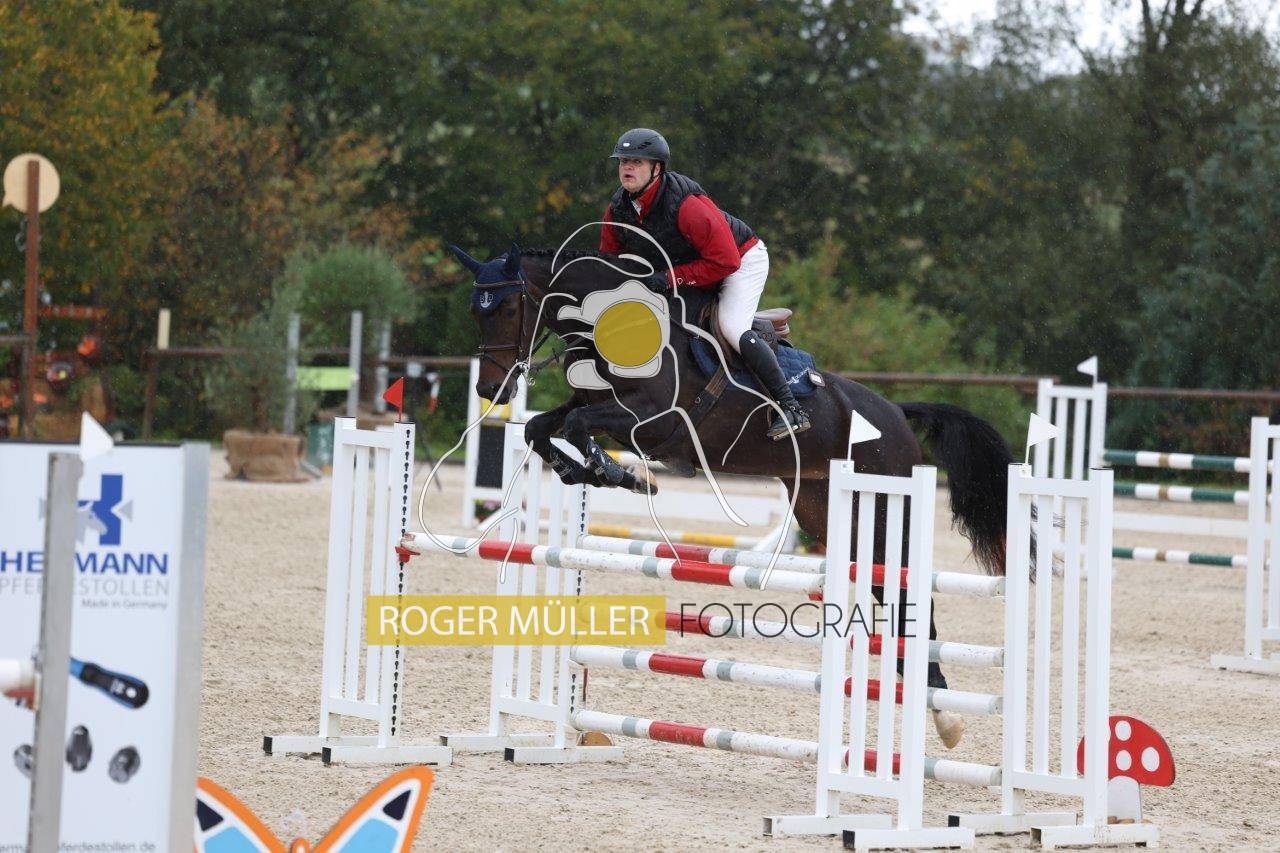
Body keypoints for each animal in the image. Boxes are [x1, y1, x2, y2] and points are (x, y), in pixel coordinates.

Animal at [450, 244, 1017, 749]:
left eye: (506, 309)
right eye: (475, 312)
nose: (493, 389)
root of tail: (897, 413)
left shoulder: (652, 419)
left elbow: (576, 424)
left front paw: (619, 473)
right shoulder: (592, 405)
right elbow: (541, 428)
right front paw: (594, 472)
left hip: (881, 513)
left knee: (908, 596)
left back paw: (944, 715)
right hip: (828, 513)